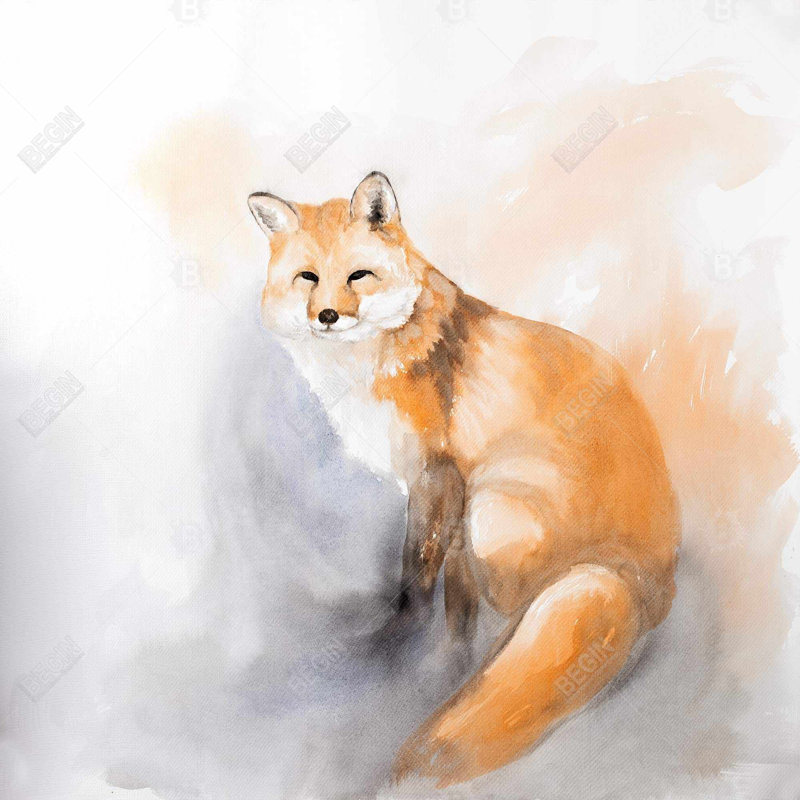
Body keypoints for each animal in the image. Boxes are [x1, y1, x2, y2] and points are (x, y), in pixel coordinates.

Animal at [247, 172, 680, 787]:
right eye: (307, 278)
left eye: (358, 276)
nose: (327, 315)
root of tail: (642, 581)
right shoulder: (442, 492)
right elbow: (447, 587)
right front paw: (443, 649)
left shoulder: (439, 475)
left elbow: (415, 577)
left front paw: (394, 645)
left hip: (493, 509)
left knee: (520, 614)